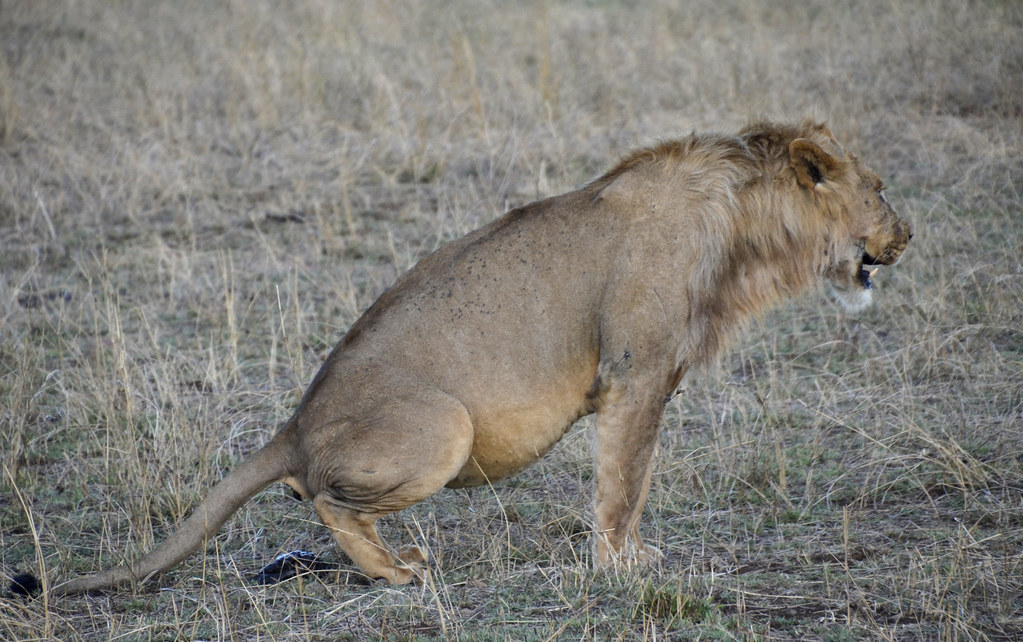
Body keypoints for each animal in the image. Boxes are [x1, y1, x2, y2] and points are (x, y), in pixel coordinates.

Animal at [53, 120, 911, 594]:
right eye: (879, 187)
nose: (909, 235)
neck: (743, 232)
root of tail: (291, 427)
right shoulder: (634, 375)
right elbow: (623, 482)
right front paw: (621, 565)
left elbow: (631, 485)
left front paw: (632, 555)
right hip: (445, 426)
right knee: (327, 500)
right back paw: (396, 572)